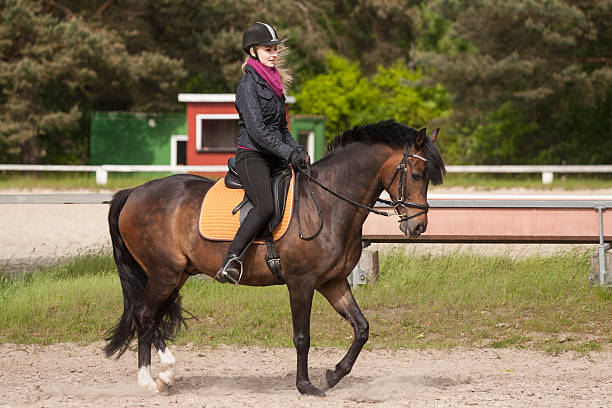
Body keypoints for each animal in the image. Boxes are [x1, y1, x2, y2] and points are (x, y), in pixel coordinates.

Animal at [104, 118, 444, 396]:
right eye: (416, 174)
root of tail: (133, 192)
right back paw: (154, 379)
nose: (418, 226)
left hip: (175, 275)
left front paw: (333, 375)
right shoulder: (301, 283)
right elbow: (302, 336)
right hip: (164, 273)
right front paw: (306, 386)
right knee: (144, 315)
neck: (327, 202)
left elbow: (361, 328)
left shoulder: (333, 282)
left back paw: (160, 376)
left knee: (149, 317)